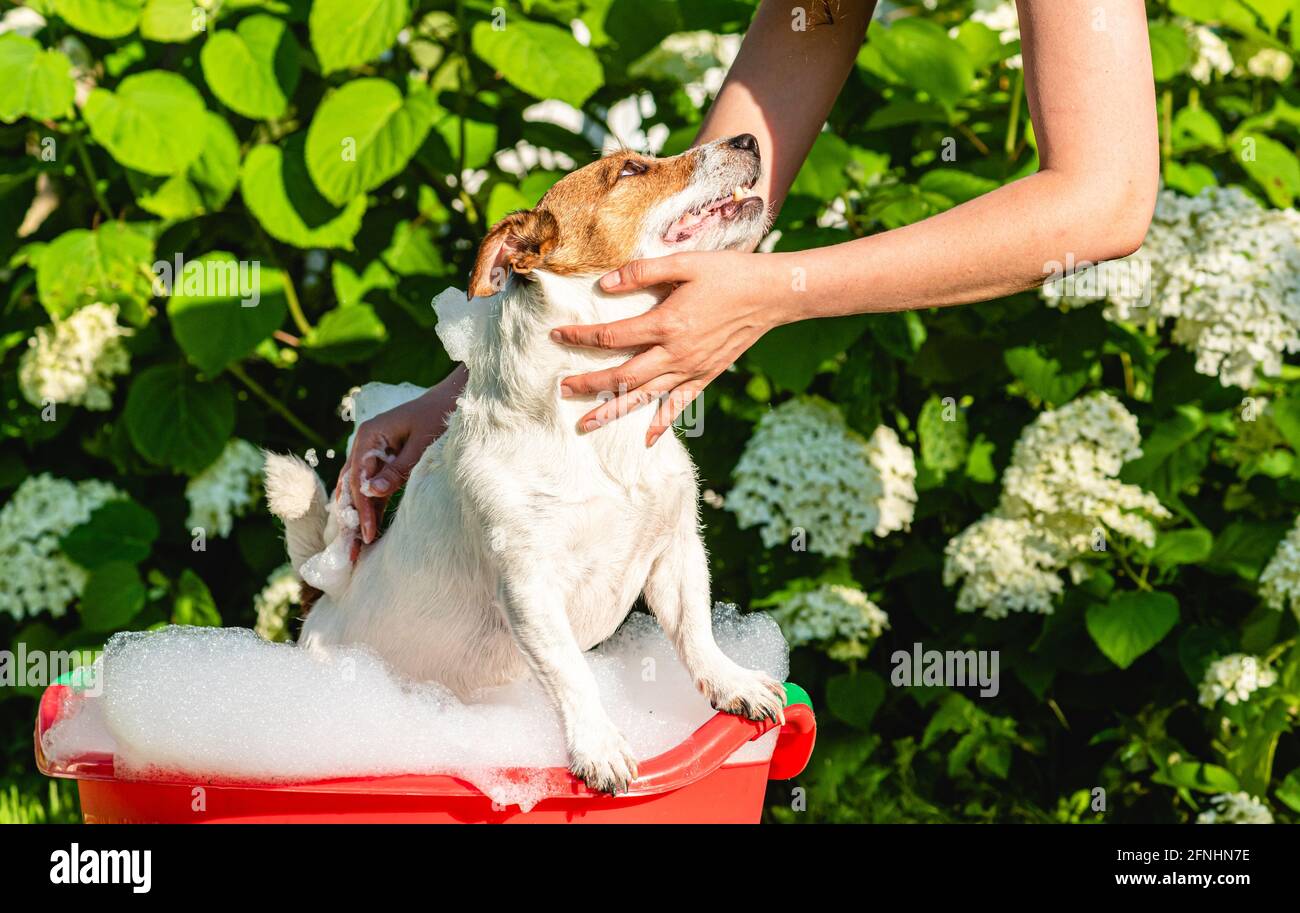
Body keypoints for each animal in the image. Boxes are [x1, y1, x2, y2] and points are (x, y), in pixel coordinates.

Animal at [263, 133, 780, 795]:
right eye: (630, 170)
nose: (748, 138)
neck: (600, 433)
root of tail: (325, 596)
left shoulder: (678, 548)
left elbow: (695, 629)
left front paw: (730, 682)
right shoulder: (529, 584)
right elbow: (570, 673)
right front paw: (598, 744)